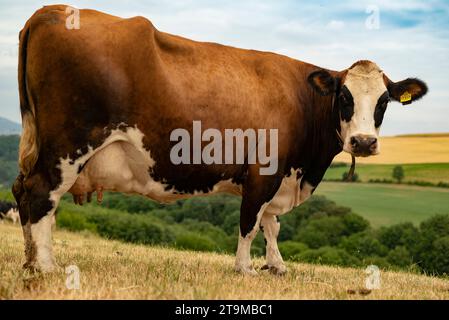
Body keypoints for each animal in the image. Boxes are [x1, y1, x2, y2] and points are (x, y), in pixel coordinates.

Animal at [14, 5, 428, 274]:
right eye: (344, 96)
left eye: (384, 100)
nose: (363, 142)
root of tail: (51, 10)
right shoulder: (264, 171)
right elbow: (251, 222)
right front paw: (244, 268)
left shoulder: (280, 175)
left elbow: (272, 224)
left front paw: (276, 265)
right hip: (67, 145)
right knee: (41, 193)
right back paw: (47, 267)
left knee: (23, 193)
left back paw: (31, 259)